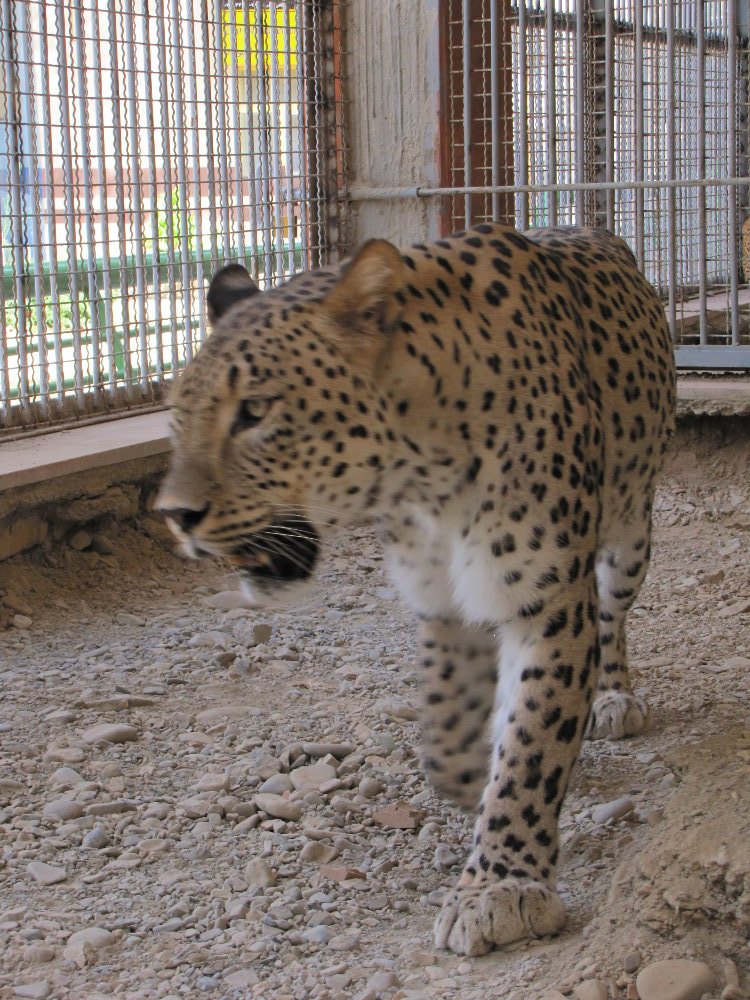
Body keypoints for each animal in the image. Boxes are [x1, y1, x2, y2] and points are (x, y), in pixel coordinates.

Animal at [156, 223, 676, 956]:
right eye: (178, 419)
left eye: (254, 412)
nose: (174, 515)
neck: (425, 473)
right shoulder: (444, 600)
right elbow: (448, 724)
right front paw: (472, 774)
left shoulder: (545, 602)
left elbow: (532, 745)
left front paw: (502, 886)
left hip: (629, 536)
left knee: (612, 613)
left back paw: (612, 696)